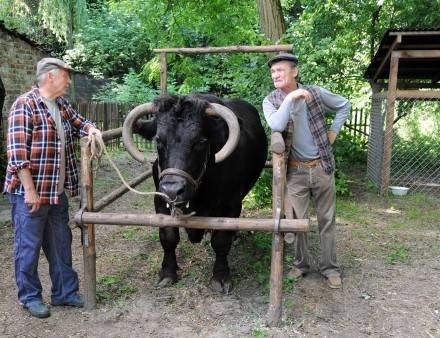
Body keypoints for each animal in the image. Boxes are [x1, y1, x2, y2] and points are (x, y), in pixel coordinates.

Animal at [125, 93, 266, 294]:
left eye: (201, 141)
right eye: (158, 140)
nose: (173, 190)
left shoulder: (232, 204)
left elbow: (221, 241)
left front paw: (221, 277)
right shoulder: (160, 201)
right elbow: (168, 237)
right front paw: (168, 272)